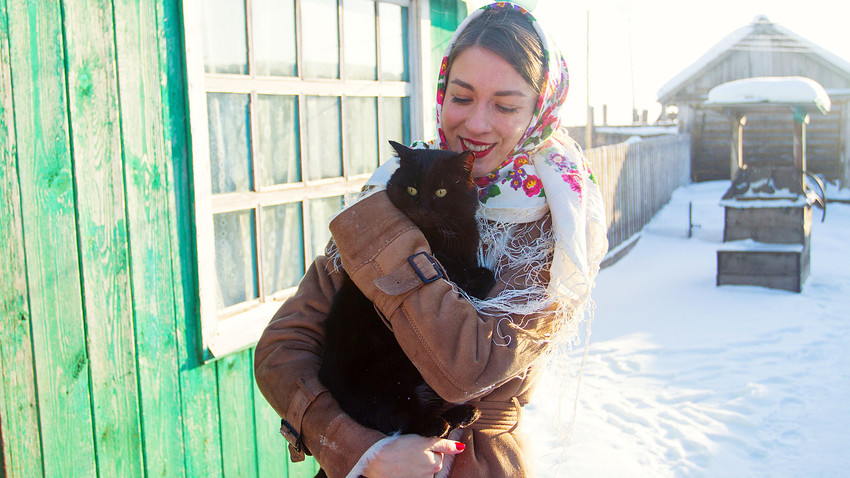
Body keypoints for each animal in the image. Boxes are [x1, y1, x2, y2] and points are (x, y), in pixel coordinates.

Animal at [314, 140, 494, 476]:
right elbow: (475, 280)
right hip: (384, 378)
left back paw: (464, 414)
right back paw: (439, 423)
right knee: (395, 418)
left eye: (441, 192)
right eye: (411, 189)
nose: (421, 209)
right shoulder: (448, 276)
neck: (440, 239)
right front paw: (477, 281)